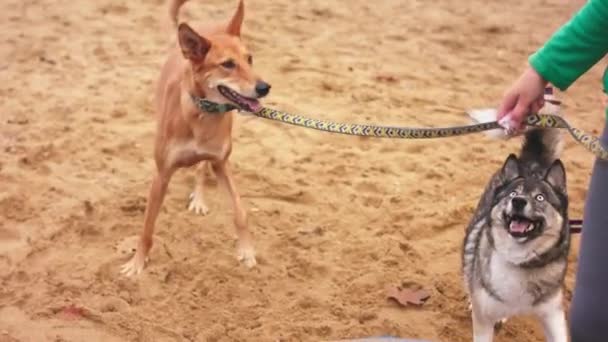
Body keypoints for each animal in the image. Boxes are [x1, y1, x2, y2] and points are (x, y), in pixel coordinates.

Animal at [121, 0, 268, 276]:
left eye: (250, 58)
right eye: (228, 64)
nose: (265, 88)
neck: (203, 113)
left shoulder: (221, 163)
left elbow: (240, 212)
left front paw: (247, 251)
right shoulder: (162, 175)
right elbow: (147, 227)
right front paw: (137, 263)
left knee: (201, 168)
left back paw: (199, 197)